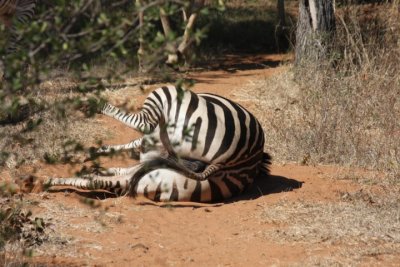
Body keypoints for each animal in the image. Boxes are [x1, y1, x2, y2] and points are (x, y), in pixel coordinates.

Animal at [46, 86, 272, 203]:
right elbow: (129, 150)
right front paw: (93, 155)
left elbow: (134, 142)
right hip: (157, 181)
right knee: (100, 181)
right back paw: (47, 181)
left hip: (170, 95)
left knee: (142, 122)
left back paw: (90, 104)